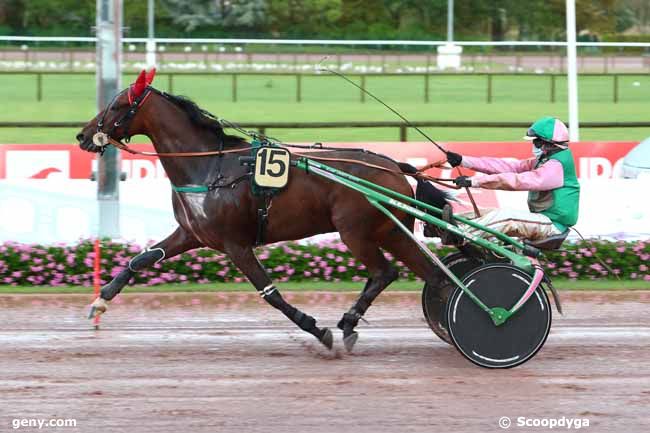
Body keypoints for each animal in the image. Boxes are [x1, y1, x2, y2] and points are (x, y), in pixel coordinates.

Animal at [76, 68, 450, 352]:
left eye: (116, 105)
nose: (82, 135)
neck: (209, 167)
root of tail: (395, 166)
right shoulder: (192, 234)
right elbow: (140, 260)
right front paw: (100, 302)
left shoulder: (236, 245)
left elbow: (270, 294)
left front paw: (317, 330)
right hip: (389, 231)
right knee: (430, 275)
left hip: (355, 232)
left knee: (384, 273)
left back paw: (348, 323)